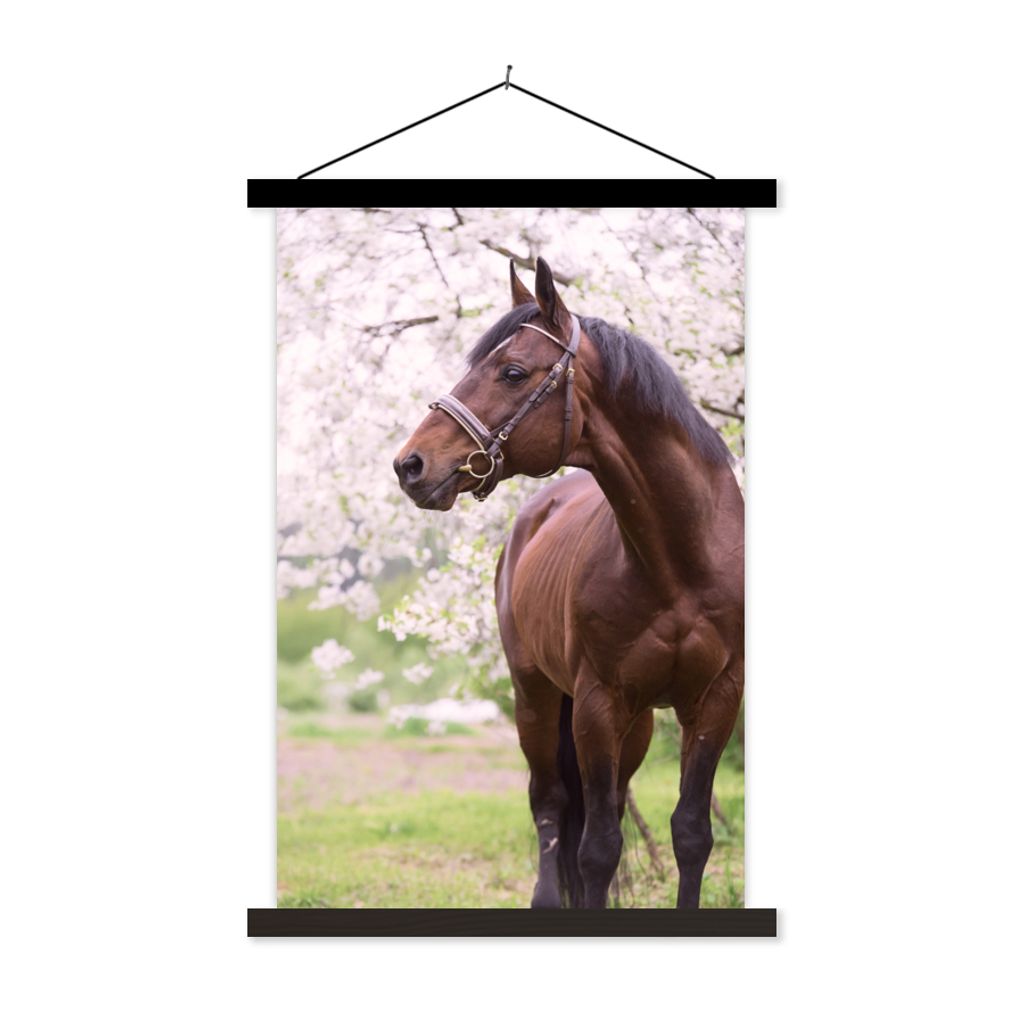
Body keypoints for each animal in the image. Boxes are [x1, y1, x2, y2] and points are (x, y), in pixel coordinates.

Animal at [394, 258, 744, 909]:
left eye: (511, 372)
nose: (410, 465)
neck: (681, 564)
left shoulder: (716, 701)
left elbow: (690, 834)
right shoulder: (597, 704)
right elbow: (597, 848)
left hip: (637, 722)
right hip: (535, 696)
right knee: (551, 804)